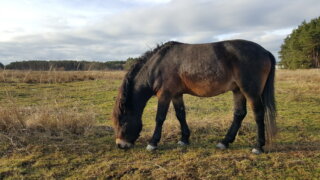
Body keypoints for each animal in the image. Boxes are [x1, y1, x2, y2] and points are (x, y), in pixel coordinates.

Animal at [112, 39, 276, 155]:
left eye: (123, 121)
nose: (120, 145)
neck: (157, 66)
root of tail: (265, 51)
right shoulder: (176, 95)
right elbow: (180, 115)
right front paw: (184, 139)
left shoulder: (165, 95)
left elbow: (160, 118)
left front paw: (153, 143)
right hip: (238, 90)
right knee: (239, 114)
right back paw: (224, 142)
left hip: (250, 91)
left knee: (258, 114)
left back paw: (258, 146)